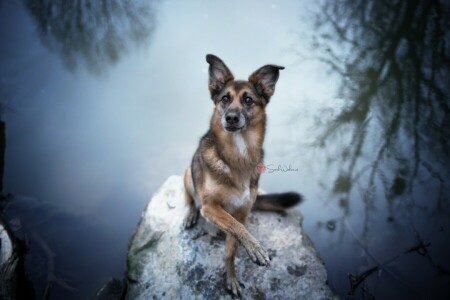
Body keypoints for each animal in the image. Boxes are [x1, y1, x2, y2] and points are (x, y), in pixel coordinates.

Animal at [183, 54, 302, 298]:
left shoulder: (242, 210)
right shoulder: (210, 207)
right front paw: (255, 248)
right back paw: (191, 213)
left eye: (248, 100)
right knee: (191, 198)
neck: (239, 153)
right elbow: (236, 227)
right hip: (187, 174)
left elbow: (232, 245)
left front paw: (231, 277)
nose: (230, 118)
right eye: (225, 99)